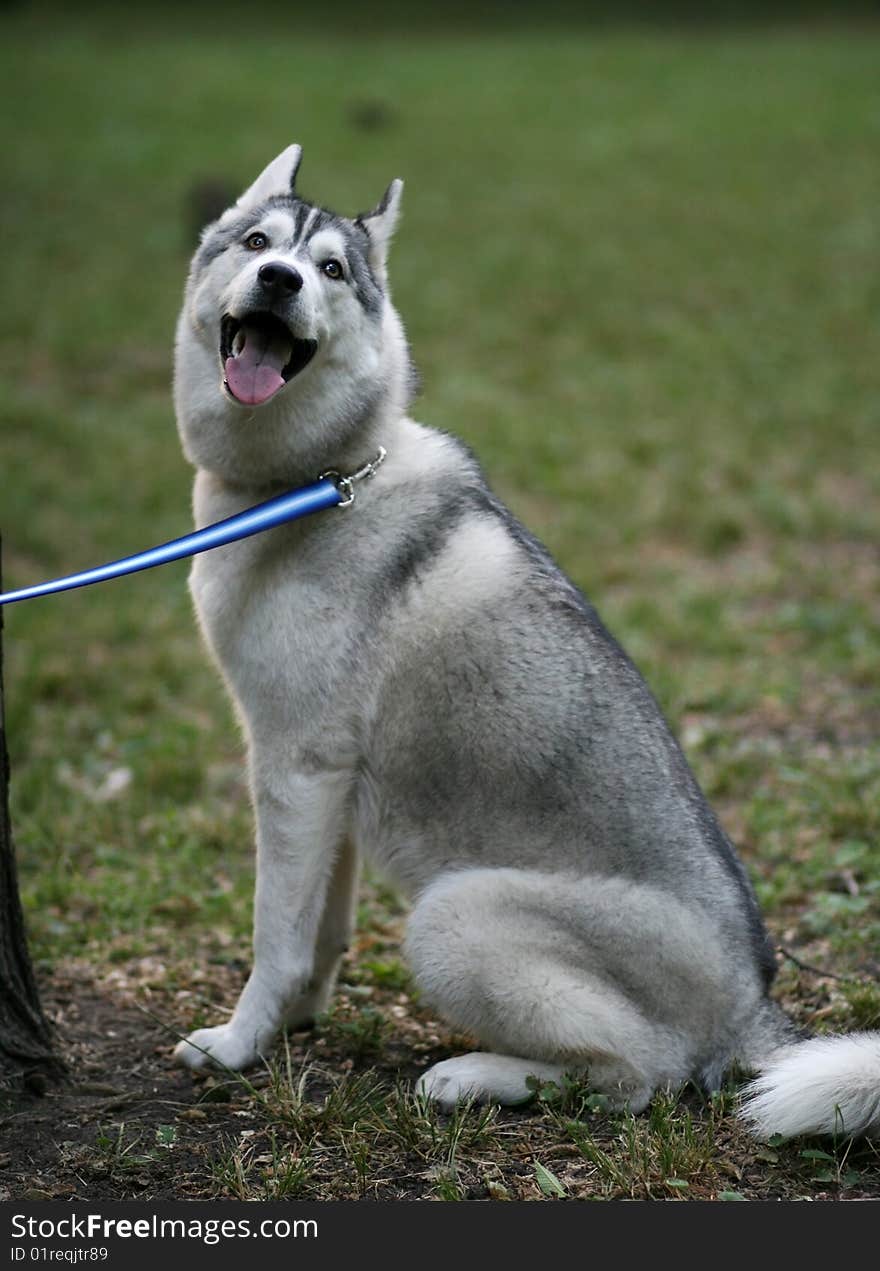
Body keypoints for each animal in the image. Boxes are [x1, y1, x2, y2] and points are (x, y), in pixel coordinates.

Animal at [171, 144, 880, 1138]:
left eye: (332, 269)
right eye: (257, 243)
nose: (279, 280)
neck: (321, 477)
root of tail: (755, 1005)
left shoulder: (293, 765)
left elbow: (274, 933)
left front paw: (240, 1043)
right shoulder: (330, 782)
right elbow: (320, 929)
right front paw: (297, 1019)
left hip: (452, 916)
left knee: (641, 1073)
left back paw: (474, 1075)